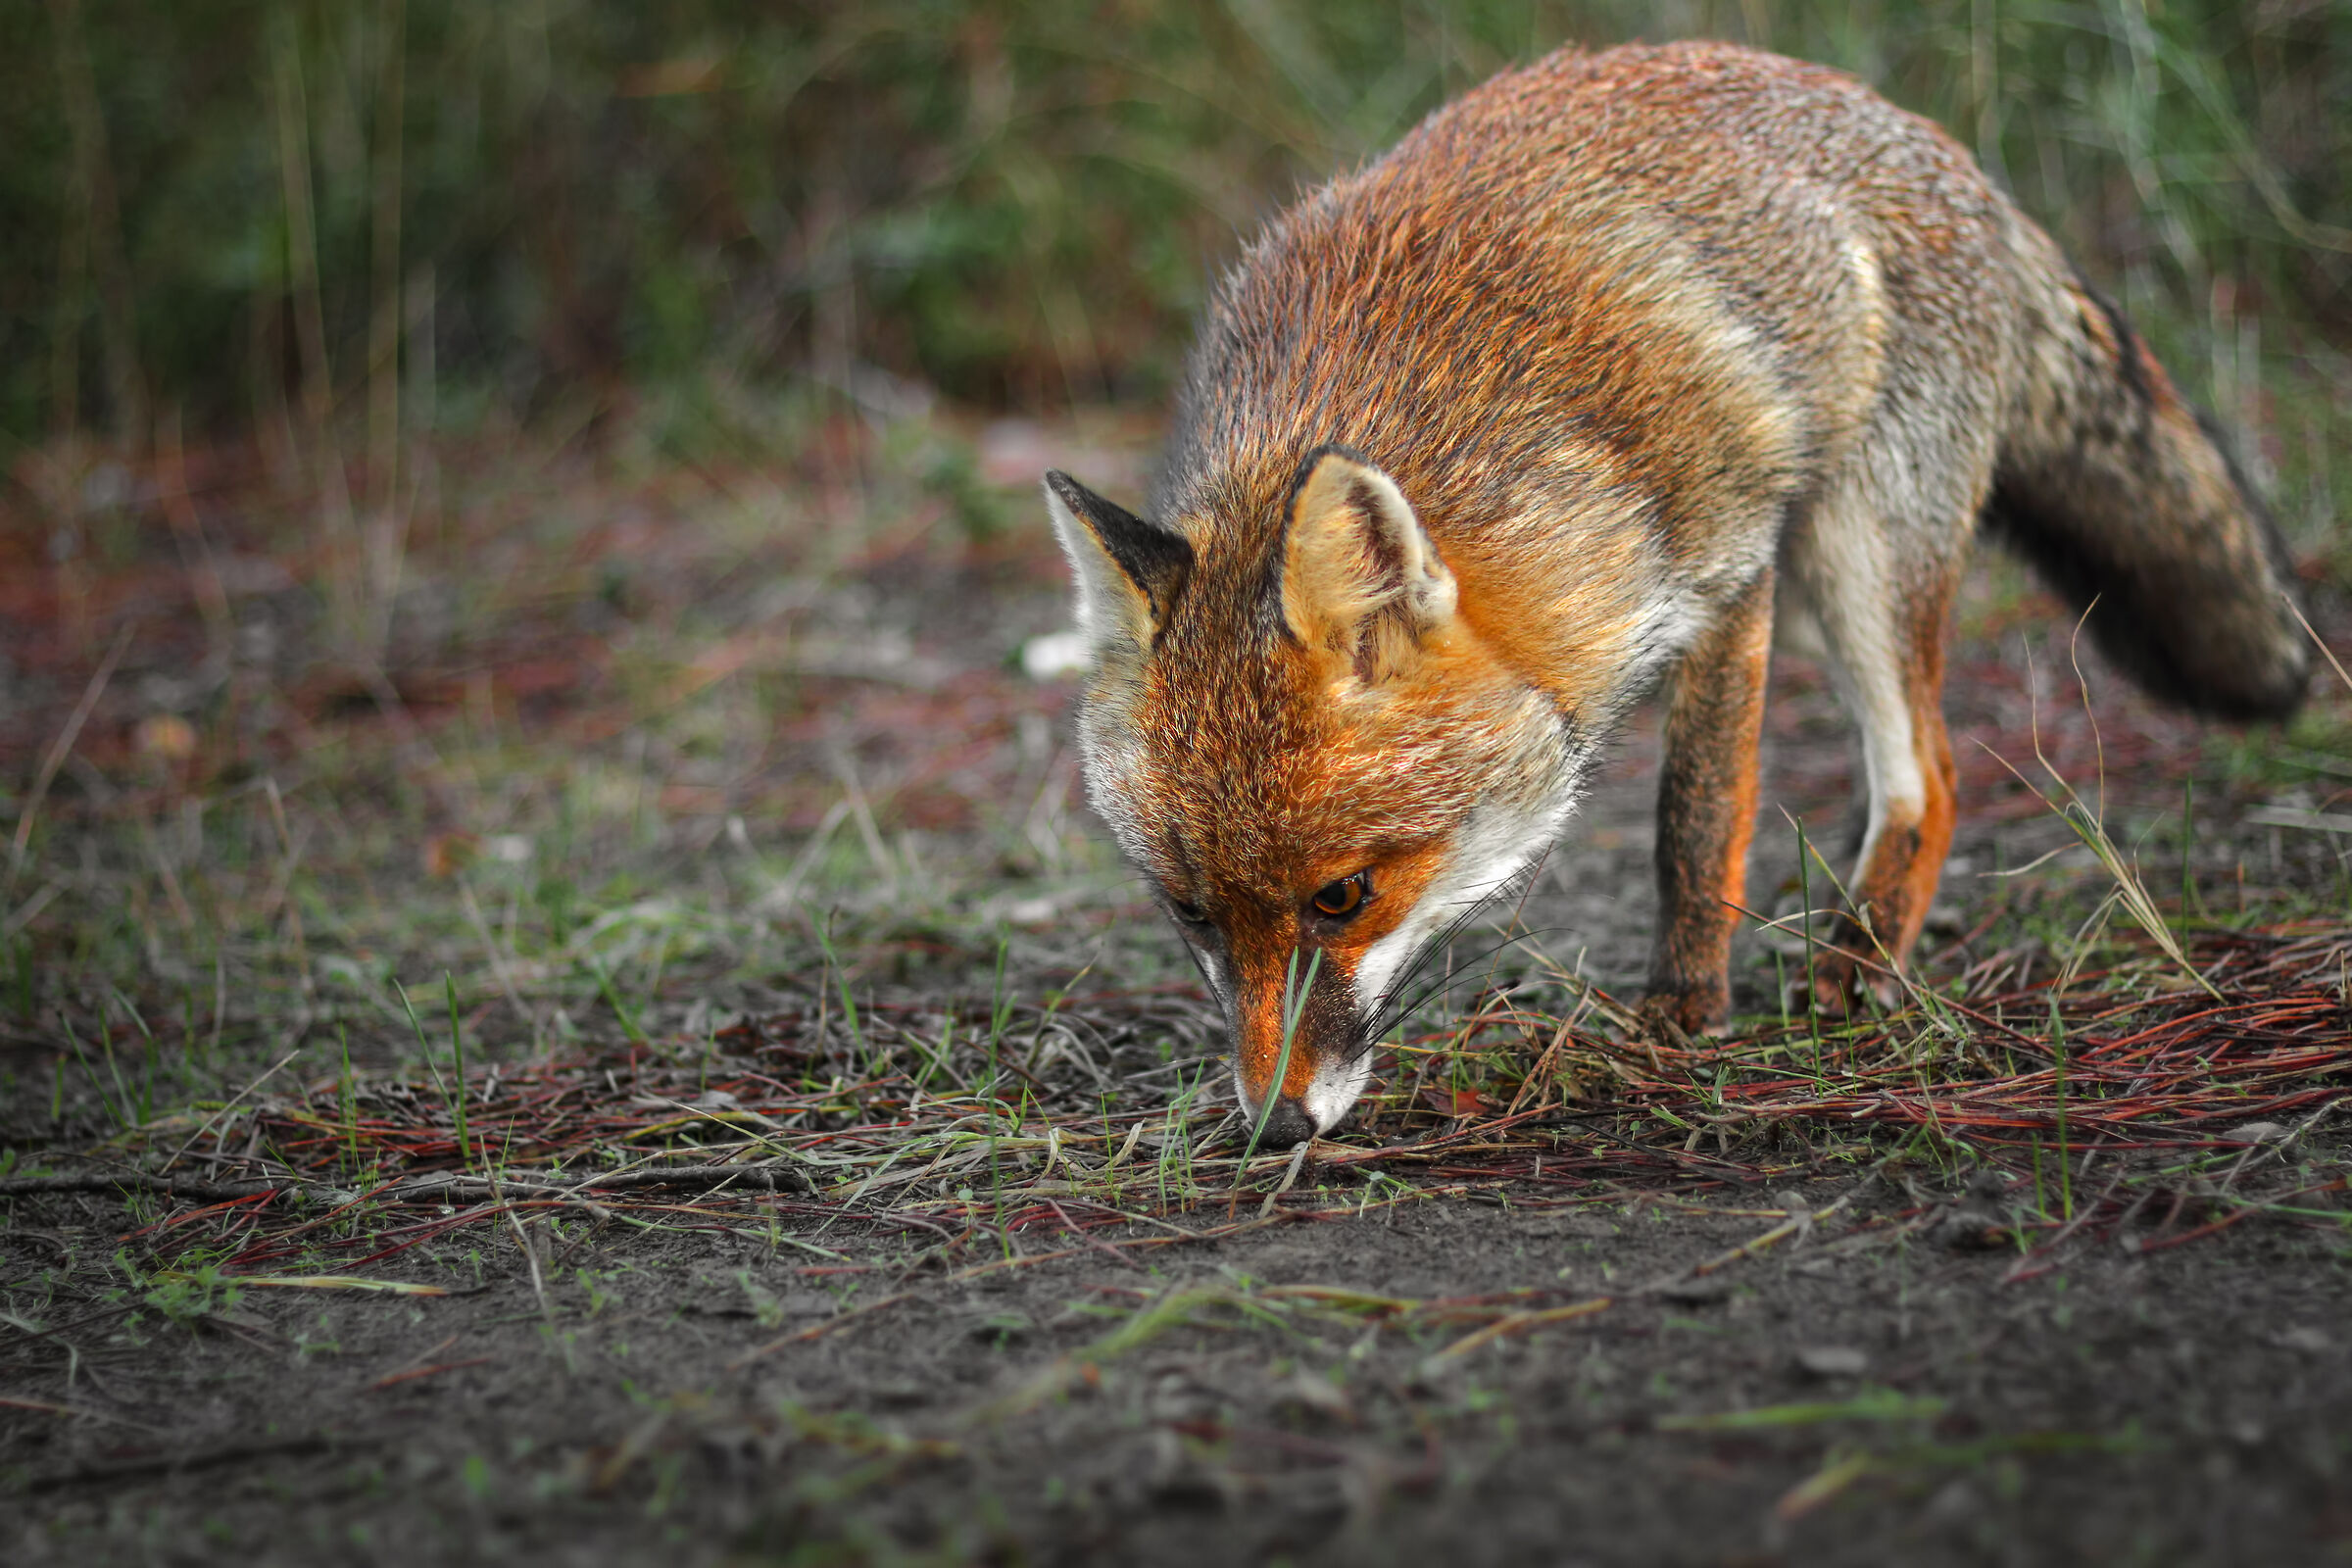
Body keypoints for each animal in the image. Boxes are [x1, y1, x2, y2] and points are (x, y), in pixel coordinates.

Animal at [1041, 41, 2308, 1147]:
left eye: (1344, 896)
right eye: (1191, 912)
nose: (1273, 1126)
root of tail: (1933, 140)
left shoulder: (1730, 570)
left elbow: (1695, 820)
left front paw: (1682, 1012)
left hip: (1854, 547)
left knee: (1930, 772)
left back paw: (1861, 956)